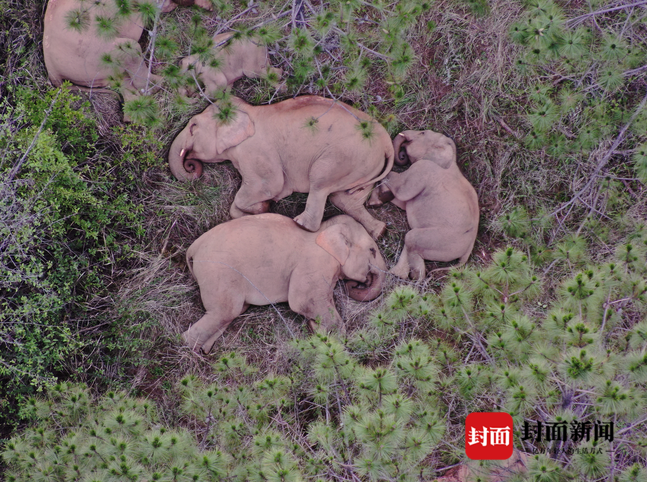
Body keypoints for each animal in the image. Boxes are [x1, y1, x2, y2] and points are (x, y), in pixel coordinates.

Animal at [168, 95, 394, 238]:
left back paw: (299, 224)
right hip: (365, 165)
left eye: (193, 127)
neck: (249, 111)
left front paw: (264, 205)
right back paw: (379, 231)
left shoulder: (257, 152)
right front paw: (261, 208)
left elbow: (271, 185)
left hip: (343, 156)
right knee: (344, 198)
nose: (191, 165)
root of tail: (387, 142)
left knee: (320, 182)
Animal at [182, 215, 384, 354]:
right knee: (225, 311)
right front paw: (335, 342)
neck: (324, 230)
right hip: (218, 271)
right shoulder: (315, 262)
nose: (358, 283)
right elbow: (303, 301)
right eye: (372, 250)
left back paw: (203, 350)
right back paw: (185, 346)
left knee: (229, 313)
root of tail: (194, 247)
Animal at [370, 130, 480, 280]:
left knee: (411, 238)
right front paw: (379, 199)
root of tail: (468, 251)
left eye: (422, 133)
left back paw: (415, 276)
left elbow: (401, 190)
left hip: (442, 240)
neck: (451, 160)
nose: (402, 154)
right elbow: (402, 202)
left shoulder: (423, 169)